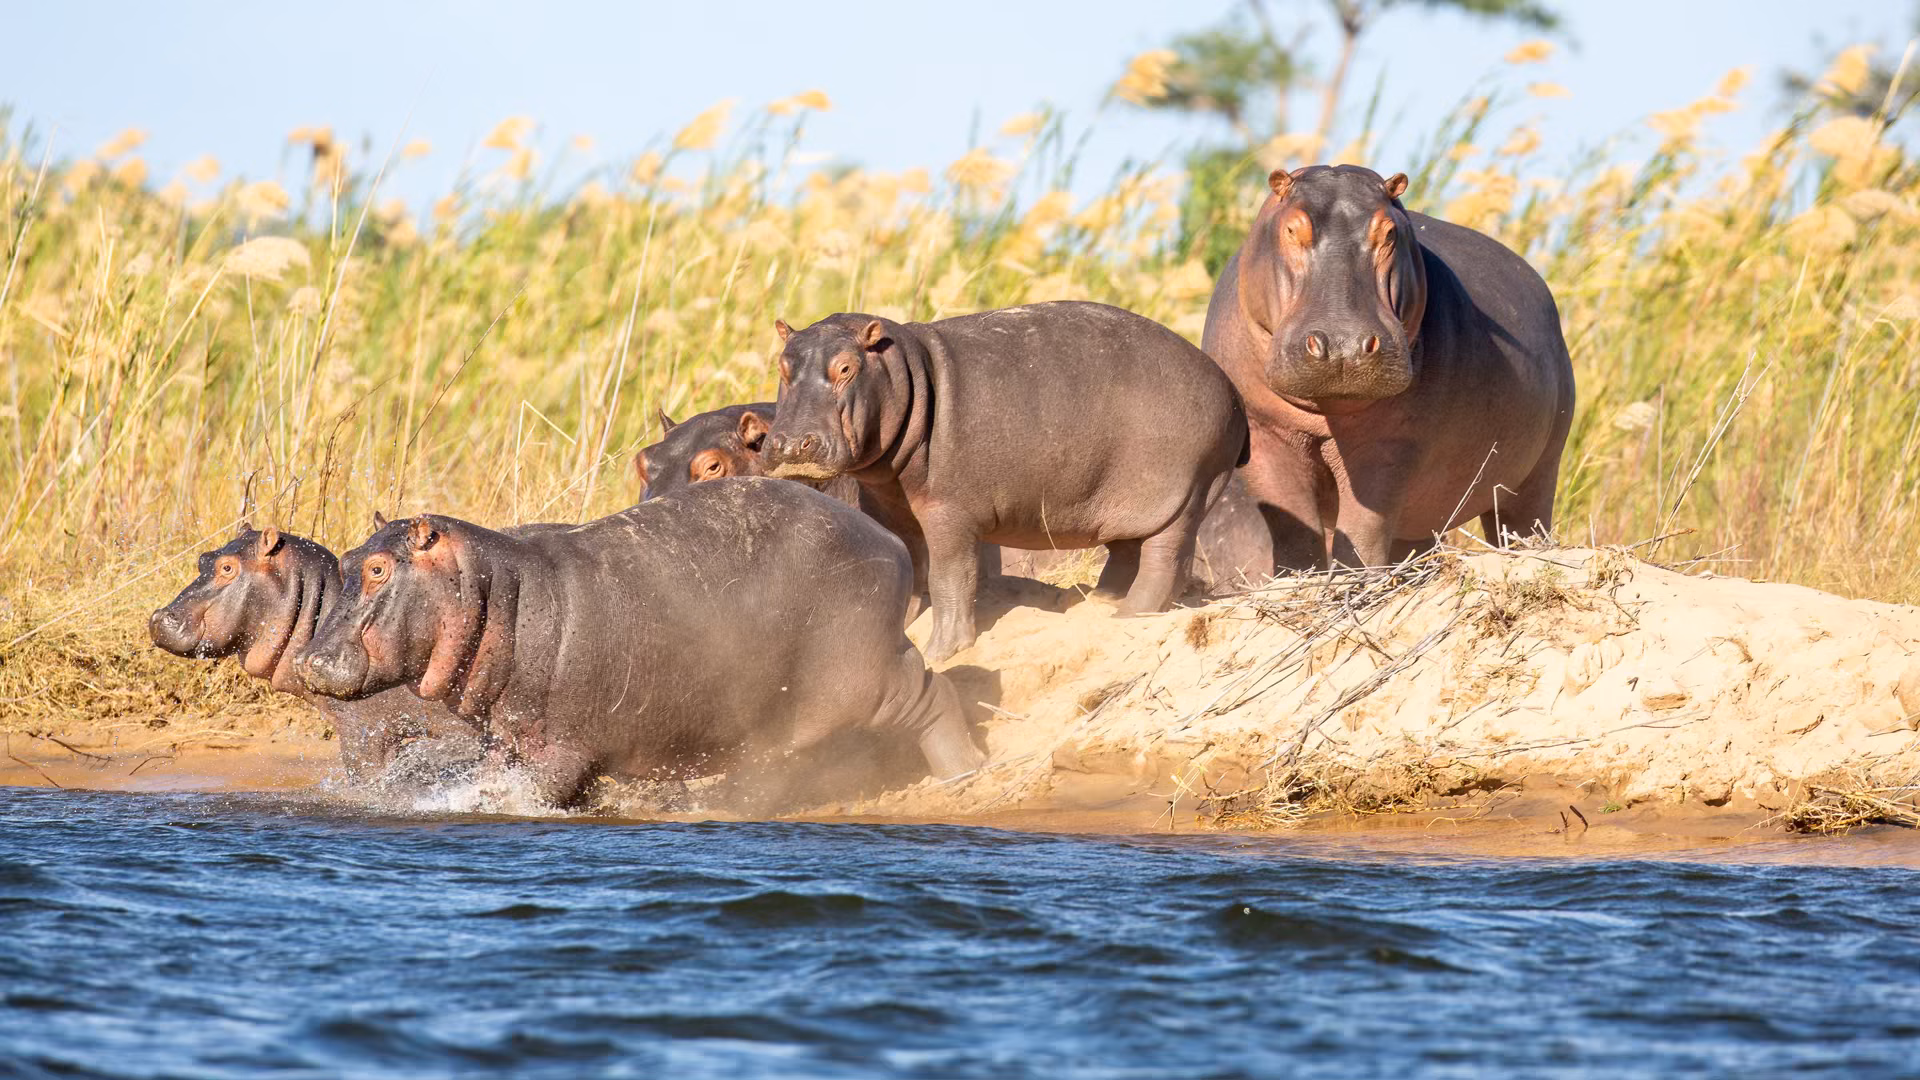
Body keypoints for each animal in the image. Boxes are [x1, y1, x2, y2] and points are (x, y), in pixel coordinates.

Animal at [292, 477, 982, 809]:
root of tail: (890, 541)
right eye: (347, 558)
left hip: (867, 675)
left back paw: (964, 775)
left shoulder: (565, 746)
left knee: (934, 695)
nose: (307, 657)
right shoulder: (511, 736)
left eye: (378, 568)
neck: (497, 590)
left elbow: (533, 793)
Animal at [760, 300, 1249, 662]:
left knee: (1165, 561)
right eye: (782, 367)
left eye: (846, 368)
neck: (904, 371)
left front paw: (941, 652)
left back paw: (1127, 616)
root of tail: (1231, 390)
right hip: (1125, 502)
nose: (790, 444)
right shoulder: (893, 511)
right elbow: (909, 570)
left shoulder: (949, 514)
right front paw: (907, 628)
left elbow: (950, 576)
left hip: (1185, 496)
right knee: (1126, 553)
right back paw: (1093, 605)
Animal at [1201, 164, 1575, 570]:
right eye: (1290, 228)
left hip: (1537, 475)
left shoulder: (1389, 448)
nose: (1344, 345)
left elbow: (1363, 533)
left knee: (1522, 521)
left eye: (1390, 231)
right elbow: (1293, 531)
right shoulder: (1266, 435)